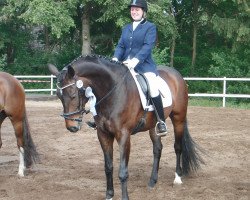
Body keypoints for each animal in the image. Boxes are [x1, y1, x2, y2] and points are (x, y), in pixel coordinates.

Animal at [47, 54, 204, 200]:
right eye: (58, 96)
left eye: (73, 95)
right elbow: (108, 167)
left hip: (178, 118)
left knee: (178, 147)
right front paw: (109, 195)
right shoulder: (103, 134)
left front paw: (124, 197)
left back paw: (177, 178)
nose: (71, 127)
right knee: (157, 149)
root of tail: (176, 74)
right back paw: (152, 181)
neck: (112, 91)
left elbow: (123, 171)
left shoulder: (123, 135)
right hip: (153, 125)